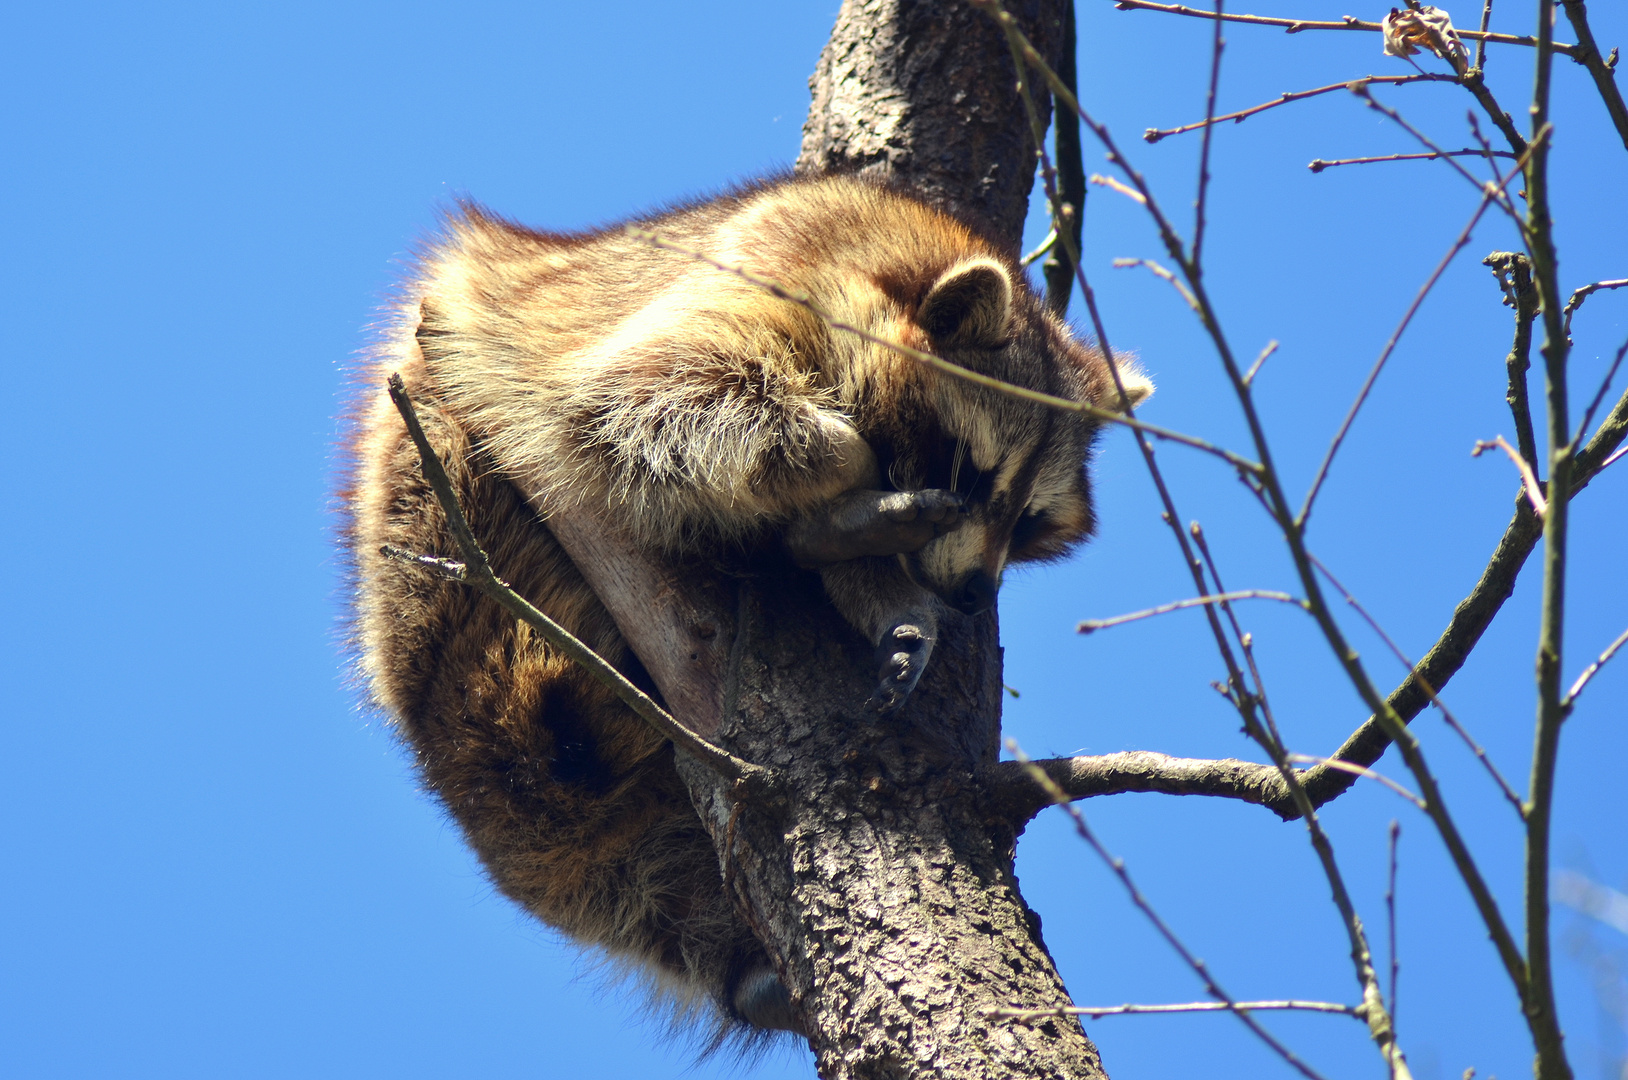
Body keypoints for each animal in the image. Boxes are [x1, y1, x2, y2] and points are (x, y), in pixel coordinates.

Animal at [343, 175, 1152, 1042]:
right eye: (970, 468)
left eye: (1029, 519)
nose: (972, 592)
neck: (881, 261)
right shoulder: (752, 273)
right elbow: (637, 402)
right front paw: (848, 478)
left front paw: (883, 587)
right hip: (425, 486)